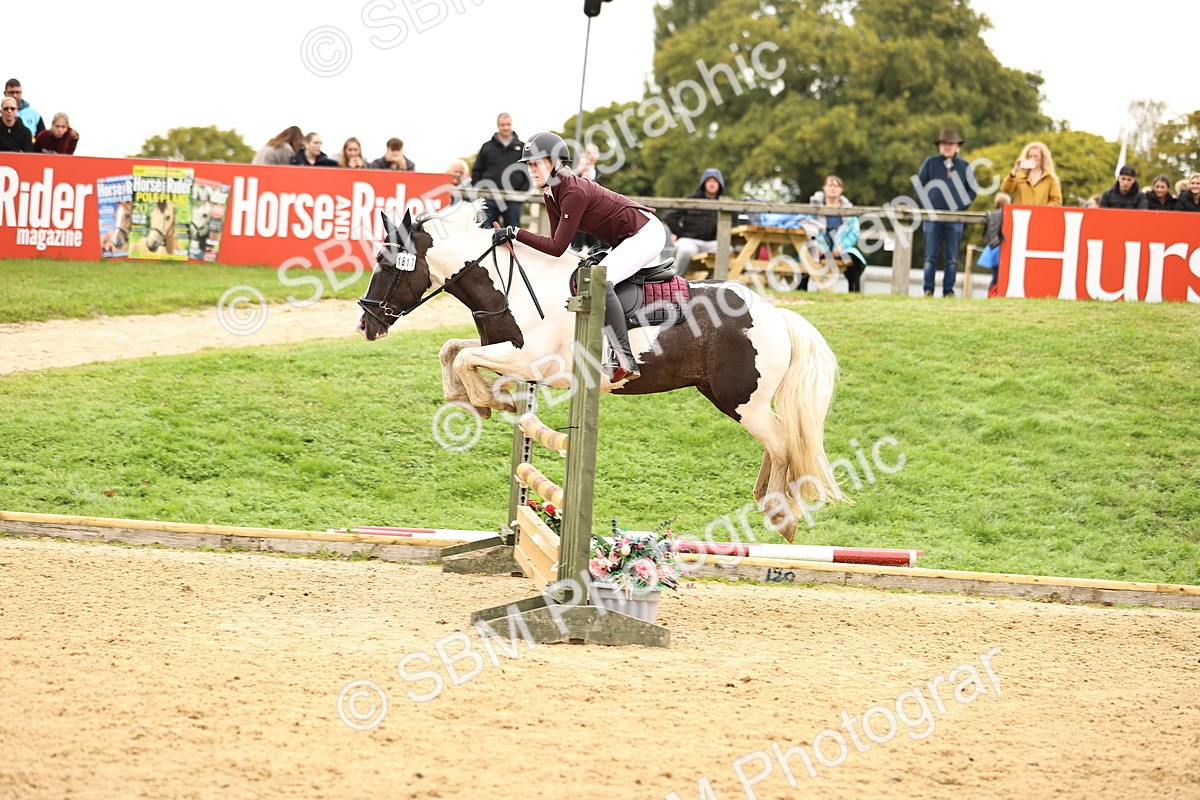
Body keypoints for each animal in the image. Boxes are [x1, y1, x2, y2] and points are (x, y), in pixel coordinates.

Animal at [356, 202, 845, 541]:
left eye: (384, 264)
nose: (365, 325)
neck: (512, 287)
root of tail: (777, 313)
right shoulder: (505, 348)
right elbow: (452, 351)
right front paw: (483, 400)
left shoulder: (529, 360)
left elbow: (461, 358)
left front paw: (487, 400)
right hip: (729, 397)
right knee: (779, 439)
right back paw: (766, 499)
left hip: (742, 400)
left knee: (782, 442)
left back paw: (782, 516)